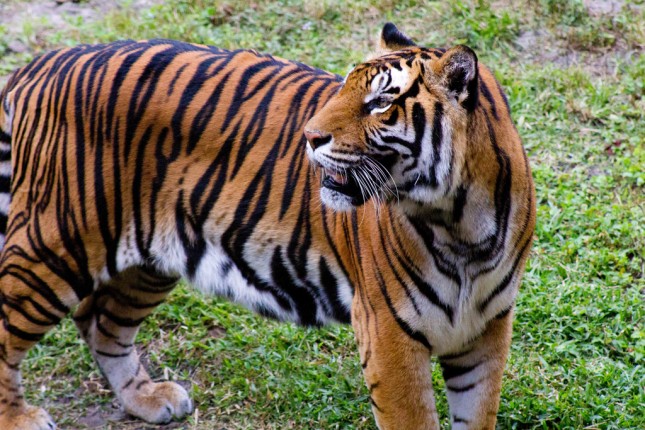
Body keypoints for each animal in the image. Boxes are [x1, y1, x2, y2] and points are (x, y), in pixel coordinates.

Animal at [0, 22, 532, 430]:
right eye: (344, 88)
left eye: (381, 103)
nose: (309, 137)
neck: (460, 222)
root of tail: (41, 64)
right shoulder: (388, 332)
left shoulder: (486, 328)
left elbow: (477, 414)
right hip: (54, 245)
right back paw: (20, 419)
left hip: (150, 258)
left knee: (101, 321)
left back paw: (148, 400)